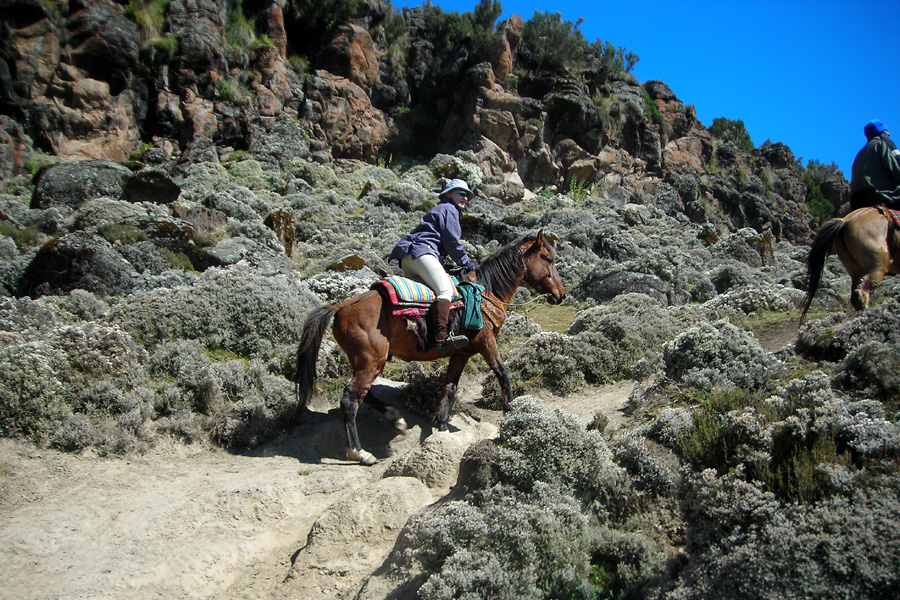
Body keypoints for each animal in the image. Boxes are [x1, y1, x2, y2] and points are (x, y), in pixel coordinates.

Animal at [296, 230, 564, 464]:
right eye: (548, 259)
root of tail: (339, 308)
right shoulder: (486, 343)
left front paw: (441, 424)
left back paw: (396, 420)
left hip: (368, 361)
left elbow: (450, 387)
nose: (561, 294)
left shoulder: (461, 353)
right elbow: (502, 374)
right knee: (350, 400)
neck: (486, 293)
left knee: (365, 393)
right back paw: (360, 453)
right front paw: (511, 412)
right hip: (370, 361)